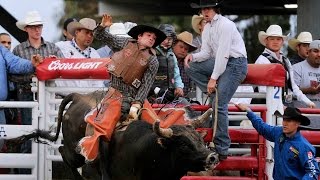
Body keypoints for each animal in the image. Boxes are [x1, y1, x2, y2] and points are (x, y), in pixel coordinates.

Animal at [7, 91, 216, 180]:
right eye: (183, 144)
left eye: (200, 140)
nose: (212, 157)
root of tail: (78, 97)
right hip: (76, 154)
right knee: (62, 151)